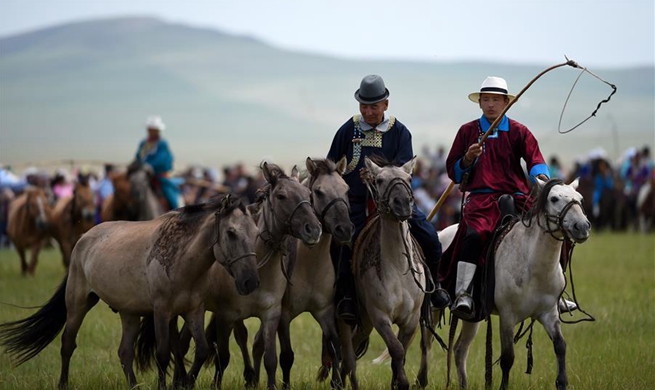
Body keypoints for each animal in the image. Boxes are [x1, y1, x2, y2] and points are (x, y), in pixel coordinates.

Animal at [0, 194, 262, 390]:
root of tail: (83, 238)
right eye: (231, 233)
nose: (250, 282)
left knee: (124, 352)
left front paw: (186, 382)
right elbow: (163, 353)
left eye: (256, 233)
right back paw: (63, 384)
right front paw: (166, 385)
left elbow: (202, 349)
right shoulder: (161, 311)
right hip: (78, 303)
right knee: (67, 343)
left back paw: (134, 385)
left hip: (129, 313)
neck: (181, 259)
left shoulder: (193, 311)